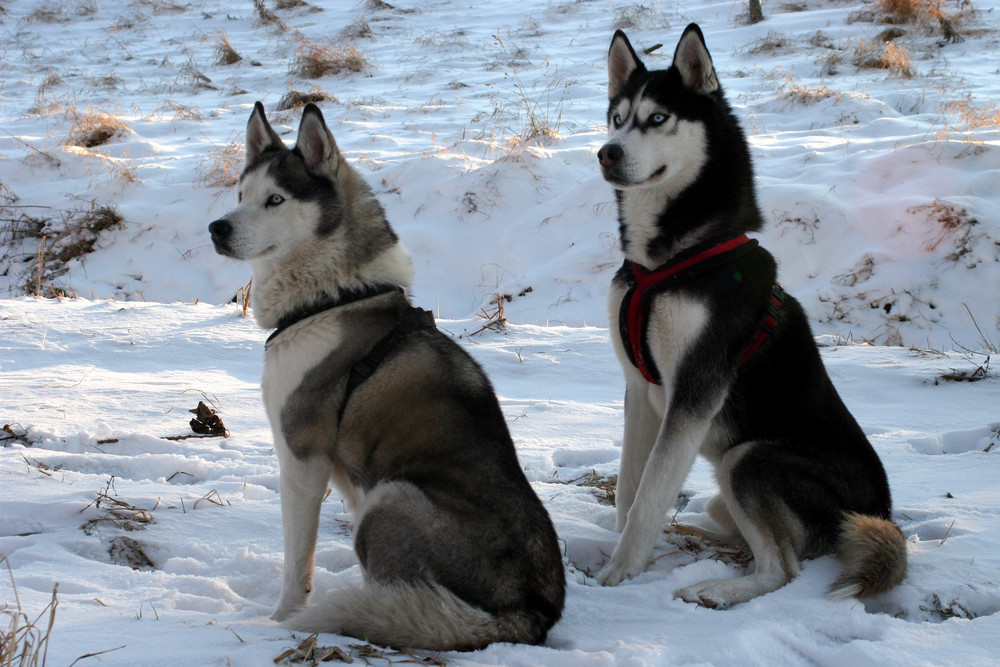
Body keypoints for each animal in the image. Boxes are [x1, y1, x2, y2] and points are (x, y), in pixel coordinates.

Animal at [205, 103, 564, 648]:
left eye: (276, 199)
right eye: (240, 196)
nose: (217, 228)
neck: (331, 297)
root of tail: (532, 613)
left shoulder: (302, 457)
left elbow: (297, 561)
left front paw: (282, 620)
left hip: (388, 498)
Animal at [592, 27, 908, 612]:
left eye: (657, 118)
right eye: (616, 118)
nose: (607, 152)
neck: (663, 266)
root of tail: (882, 513)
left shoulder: (694, 390)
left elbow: (649, 494)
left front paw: (618, 574)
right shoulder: (639, 387)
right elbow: (630, 488)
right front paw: (623, 547)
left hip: (749, 457)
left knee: (782, 567)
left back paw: (716, 588)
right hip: (729, 485)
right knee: (744, 531)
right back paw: (690, 536)